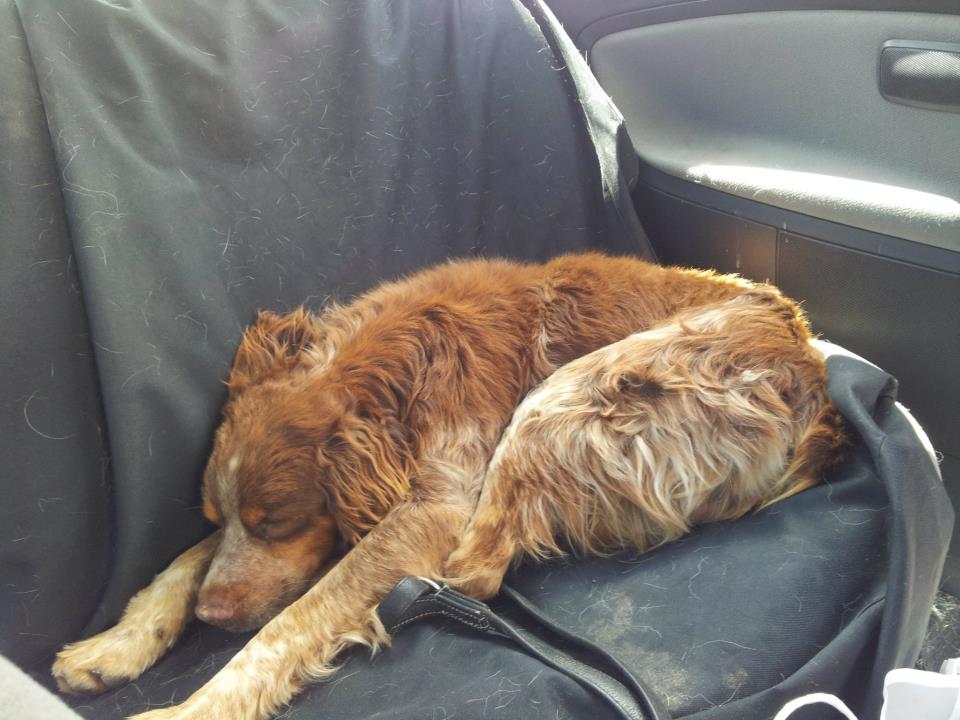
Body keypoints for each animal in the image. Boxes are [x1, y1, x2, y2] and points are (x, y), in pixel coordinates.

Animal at [52, 253, 845, 719]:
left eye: (277, 523)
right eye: (219, 513)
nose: (213, 619)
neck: (380, 372)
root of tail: (812, 365)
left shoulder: (435, 503)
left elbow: (294, 618)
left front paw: (194, 708)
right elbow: (185, 562)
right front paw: (117, 644)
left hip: (570, 391)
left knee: (478, 573)